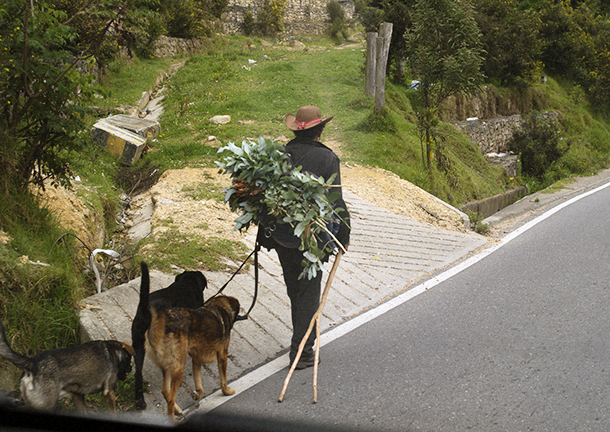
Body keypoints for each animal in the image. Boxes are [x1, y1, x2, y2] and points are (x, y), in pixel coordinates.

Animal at [0, 318, 134, 414]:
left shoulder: (77, 395)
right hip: (47, 405)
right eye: (130, 360)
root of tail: (32, 363)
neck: (114, 351)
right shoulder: (109, 392)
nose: (131, 368)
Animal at [143, 290, 240, 418]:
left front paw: (198, 395)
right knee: (170, 399)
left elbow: (199, 384)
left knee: (165, 391)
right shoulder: (222, 356)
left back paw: (178, 410)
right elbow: (223, 379)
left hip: (169, 366)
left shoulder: (197, 360)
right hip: (178, 368)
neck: (218, 307)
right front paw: (227, 391)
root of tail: (160, 324)